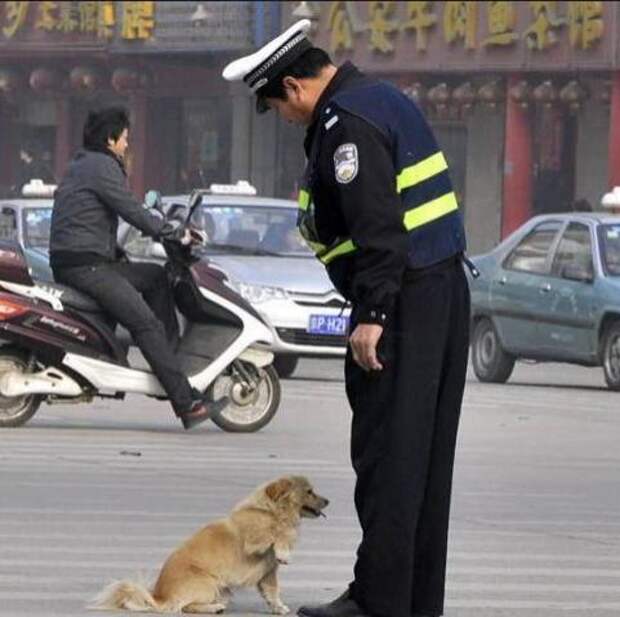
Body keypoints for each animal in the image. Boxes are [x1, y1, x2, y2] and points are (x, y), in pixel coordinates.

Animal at [90, 474, 330, 608]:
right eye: (309, 491)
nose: (328, 501)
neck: (270, 512)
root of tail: (160, 597)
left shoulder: (268, 574)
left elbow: (272, 592)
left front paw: (279, 608)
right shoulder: (253, 542)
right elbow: (277, 534)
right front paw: (283, 549)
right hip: (208, 583)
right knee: (184, 607)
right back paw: (212, 608)